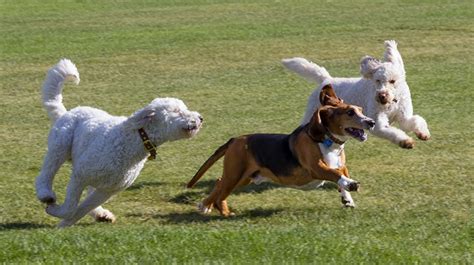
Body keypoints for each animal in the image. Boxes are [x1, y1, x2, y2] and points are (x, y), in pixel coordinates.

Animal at [35, 58, 202, 226]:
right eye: (177, 111)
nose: (200, 118)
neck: (132, 142)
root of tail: (67, 112)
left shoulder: (108, 190)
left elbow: (79, 210)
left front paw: (63, 225)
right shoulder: (80, 175)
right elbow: (70, 207)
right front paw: (54, 211)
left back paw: (101, 214)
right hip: (60, 146)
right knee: (46, 173)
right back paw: (46, 194)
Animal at [187, 83, 376, 216]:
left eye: (361, 110)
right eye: (350, 112)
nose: (372, 122)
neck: (330, 142)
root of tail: (236, 139)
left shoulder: (340, 164)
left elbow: (341, 173)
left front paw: (347, 198)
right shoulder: (316, 168)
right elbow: (336, 174)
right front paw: (350, 184)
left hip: (244, 177)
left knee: (219, 182)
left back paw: (206, 205)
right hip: (235, 173)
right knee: (221, 189)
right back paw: (222, 211)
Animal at [284, 41, 432, 148]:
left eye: (392, 81)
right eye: (377, 80)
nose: (381, 96)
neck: (391, 103)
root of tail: (326, 80)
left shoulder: (403, 117)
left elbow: (415, 120)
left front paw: (423, 133)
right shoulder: (377, 122)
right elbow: (390, 131)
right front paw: (405, 141)